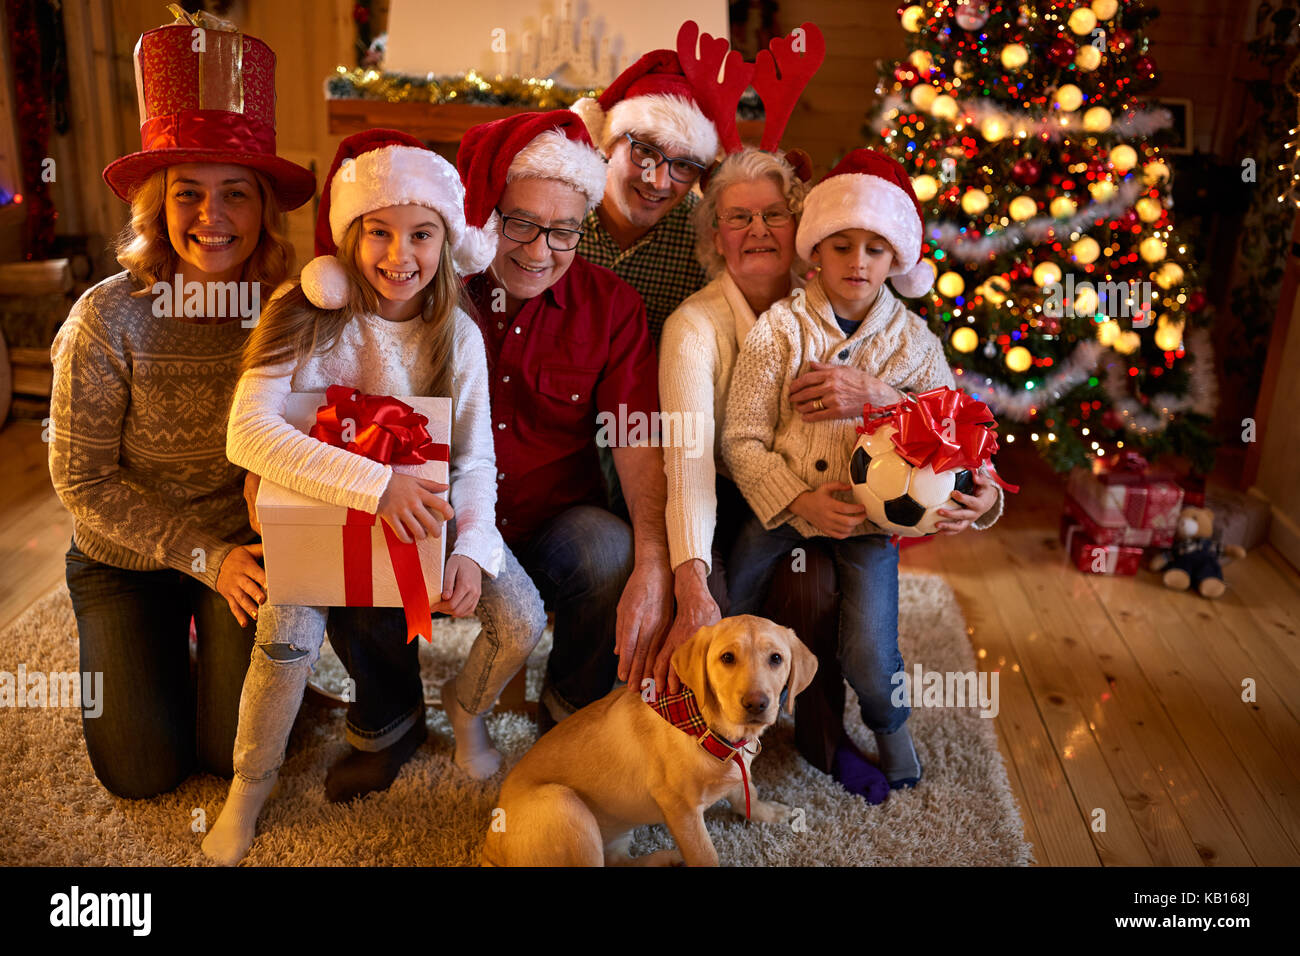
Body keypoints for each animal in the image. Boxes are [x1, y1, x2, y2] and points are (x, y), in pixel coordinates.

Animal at [483, 616, 816, 868]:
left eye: (776, 659)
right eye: (727, 658)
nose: (756, 704)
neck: (706, 727)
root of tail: (490, 850)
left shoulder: (737, 771)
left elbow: (748, 794)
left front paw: (766, 813)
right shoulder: (681, 808)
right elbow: (706, 854)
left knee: (617, 862)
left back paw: (663, 858)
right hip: (567, 806)